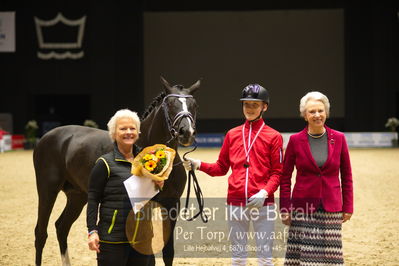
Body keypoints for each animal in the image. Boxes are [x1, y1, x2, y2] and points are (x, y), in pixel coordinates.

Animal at [34, 76, 202, 264]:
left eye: (194, 105)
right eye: (171, 104)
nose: (186, 132)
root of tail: (47, 137)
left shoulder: (171, 205)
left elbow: (168, 253)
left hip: (77, 196)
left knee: (62, 227)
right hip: (47, 191)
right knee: (41, 233)